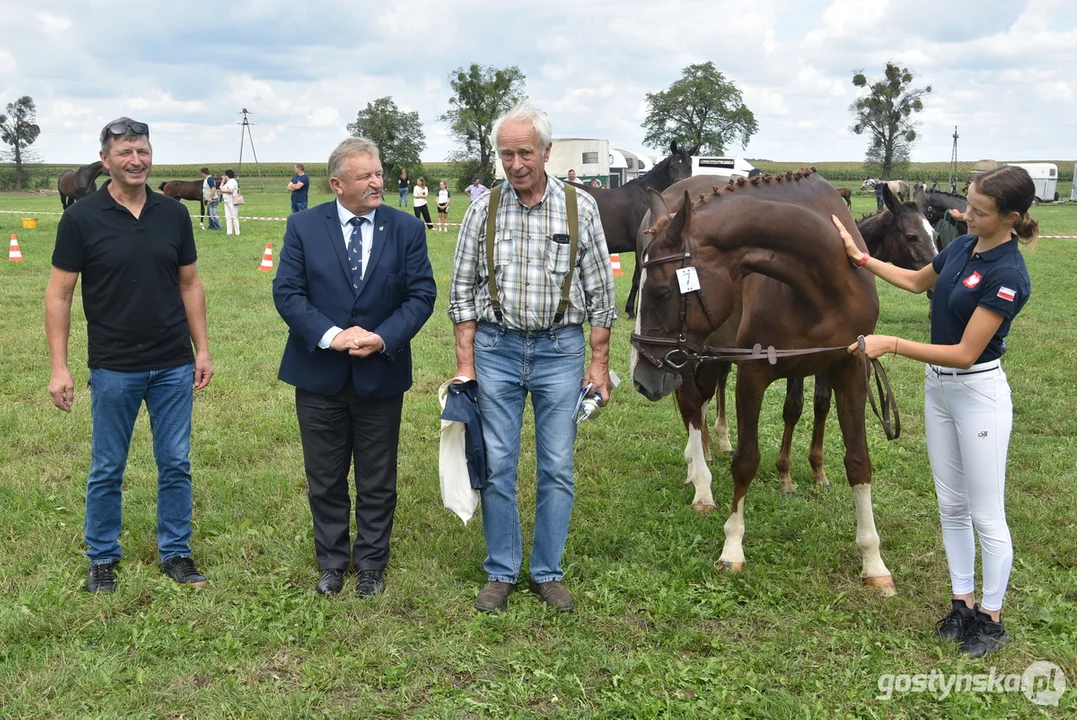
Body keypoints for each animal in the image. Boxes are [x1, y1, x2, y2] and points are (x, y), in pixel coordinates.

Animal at [633, 170, 896, 594]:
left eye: (660, 290)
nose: (642, 378)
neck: (825, 283)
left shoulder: (851, 370)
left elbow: (858, 462)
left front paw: (873, 562)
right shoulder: (752, 374)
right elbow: (746, 461)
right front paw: (732, 550)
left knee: (699, 406)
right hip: (690, 360)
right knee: (692, 407)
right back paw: (702, 484)